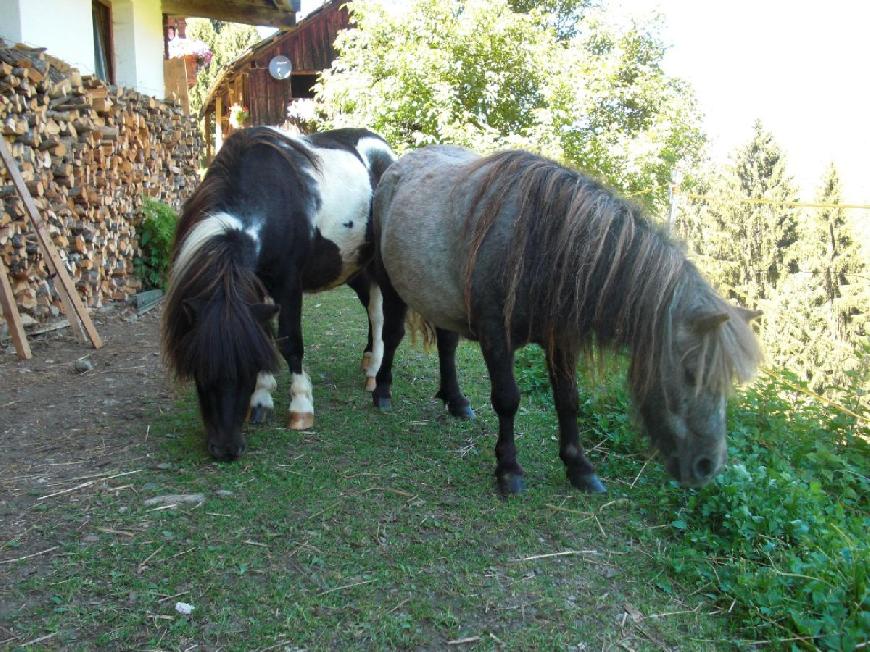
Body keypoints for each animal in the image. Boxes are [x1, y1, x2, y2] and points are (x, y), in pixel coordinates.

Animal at [163, 126, 396, 458]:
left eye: (245, 371)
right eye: (200, 368)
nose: (226, 449)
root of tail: (383, 148)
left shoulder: (288, 286)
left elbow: (289, 341)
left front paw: (300, 406)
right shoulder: (256, 289)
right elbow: (264, 335)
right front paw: (261, 399)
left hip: (378, 265)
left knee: (379, 315)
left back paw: (375, 373)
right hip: (353, 267)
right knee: (370, 305)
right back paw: (367, 359)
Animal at [374, 145, 764, 494]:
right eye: (691, 374)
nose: (708, 466)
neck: (539, 244)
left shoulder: (560, 340)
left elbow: (568, 400)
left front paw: (580, 468)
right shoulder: (496, 337)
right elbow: (507, 399)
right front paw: (509, 469)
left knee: (447, 344)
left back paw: (455, 401)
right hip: (390, 285)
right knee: (391, 335)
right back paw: (381, 391)